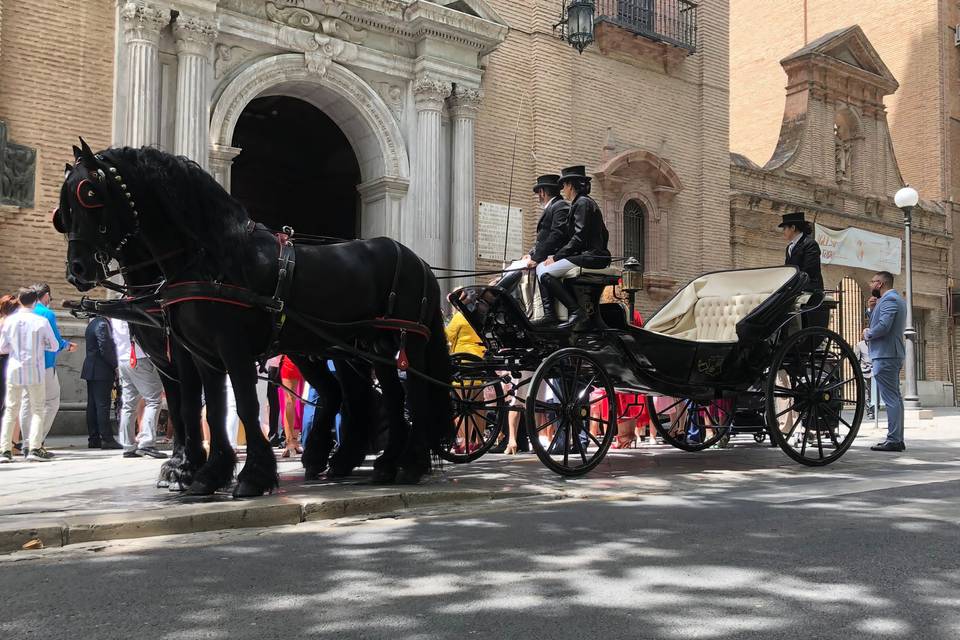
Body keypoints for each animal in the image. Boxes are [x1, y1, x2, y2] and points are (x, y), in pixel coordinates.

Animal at [57, 144, 454, 496]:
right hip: (362, 347)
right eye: (64, 211)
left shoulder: (228, 349)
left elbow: (240, 406)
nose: (77, 269)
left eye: (89, 193)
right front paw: (204, 472)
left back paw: (408, 463)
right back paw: (371, 461)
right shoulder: (197, 354)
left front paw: (249, 475)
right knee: (375, 395)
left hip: (405, 340)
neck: (212, 259)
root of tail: (419, 262)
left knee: (413, 395)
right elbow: (207, 409)